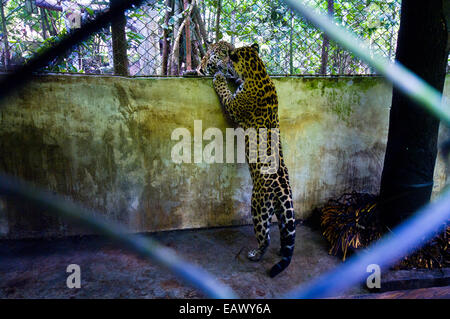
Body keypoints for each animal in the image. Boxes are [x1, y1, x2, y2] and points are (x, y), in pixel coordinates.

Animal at [211, 42, 296, 278]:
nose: (222, 65)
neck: (259, 71)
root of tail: (284, 188)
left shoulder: (233, 105)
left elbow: (224, 92)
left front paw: (219, 78)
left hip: (258, 206)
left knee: (264, 236)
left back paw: (256, 254)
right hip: (281, 210)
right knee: (285, 232)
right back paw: (280, 250)